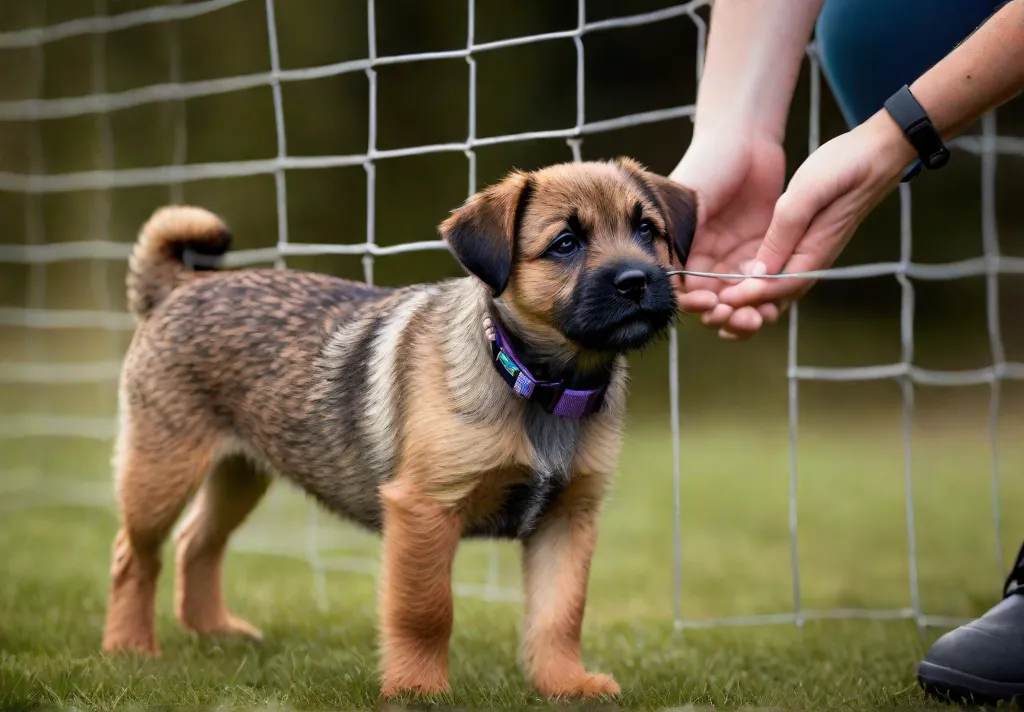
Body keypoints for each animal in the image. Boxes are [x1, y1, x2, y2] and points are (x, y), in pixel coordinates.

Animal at [101, 157, 696, 700]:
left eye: (647, 230)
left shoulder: (568, 520)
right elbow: (426, 610)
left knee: (197, 542)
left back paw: (215, 632)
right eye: (566, 244)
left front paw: (566, 685)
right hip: (162, 468)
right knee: (134, 555)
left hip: (239, 471)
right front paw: (418, 690)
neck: (536, 382)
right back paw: (130, 649)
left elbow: (560, 614)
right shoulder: (425, 510)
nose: (637, 280)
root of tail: (176, 288)